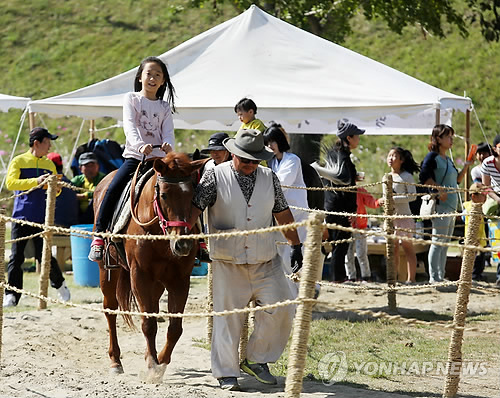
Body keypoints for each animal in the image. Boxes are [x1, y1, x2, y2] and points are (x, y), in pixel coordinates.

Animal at [93, 152, 204, 380]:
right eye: (164, 195)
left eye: (193, 195)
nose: (183, 244)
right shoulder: (140, 275)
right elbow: (148, 323)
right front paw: (153, 366)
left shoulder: (180, 279)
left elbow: (175, 327)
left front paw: (160, 361)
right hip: (108, 271)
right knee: (110, 310)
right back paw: (115, 361)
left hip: (157, 283)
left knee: (152, 308)